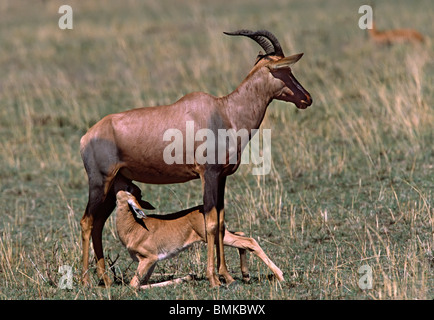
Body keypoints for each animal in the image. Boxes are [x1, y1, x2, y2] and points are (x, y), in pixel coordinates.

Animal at [79, 28, 312, 288]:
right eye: (285, 70)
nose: (307, 98)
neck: (224, 112)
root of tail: (87, 136)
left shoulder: (222, 177)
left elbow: (220, 223)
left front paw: (227, 275)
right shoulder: (207, 174)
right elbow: (209, 223)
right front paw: (213, 278)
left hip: (115, 186)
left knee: (98, 224)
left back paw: (105, 278)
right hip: (99, 183)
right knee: (87, 222)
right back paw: (86, 280)